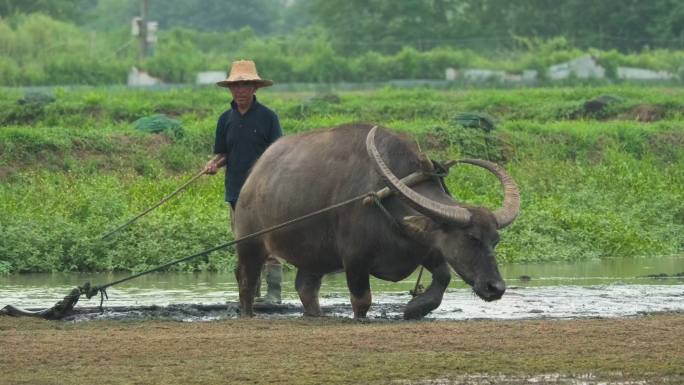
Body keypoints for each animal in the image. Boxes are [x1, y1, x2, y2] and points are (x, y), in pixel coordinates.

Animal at [234, 123, 520, 318]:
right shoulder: (355, 260)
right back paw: (248, 313)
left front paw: (414, 308)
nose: (496, 287)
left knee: (305, 287)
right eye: (470, 238)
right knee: (246, 281)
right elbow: (362, 302)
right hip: (250, 244)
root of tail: (254, 176)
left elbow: (443, 278)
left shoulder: (426, 246)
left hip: (314, 255)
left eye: (495, 241)